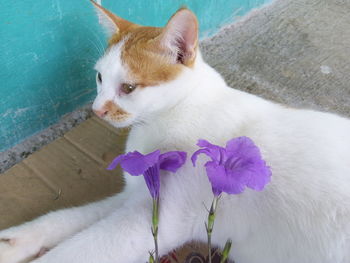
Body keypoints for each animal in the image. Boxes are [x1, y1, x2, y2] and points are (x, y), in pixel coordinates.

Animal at [0, 1, 350, 262]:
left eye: (128, 88)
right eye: (99, 78)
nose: (96, 109)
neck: (172, 115)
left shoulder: (157, 218)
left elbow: (74, 251)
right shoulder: (139, 195)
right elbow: (69, 218)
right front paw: (14, 242)